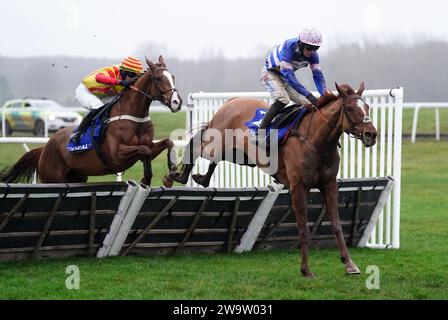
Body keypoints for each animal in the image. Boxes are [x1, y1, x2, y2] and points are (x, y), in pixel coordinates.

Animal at [0, 55, 182, 185]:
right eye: (158, 78)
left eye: (173, 77)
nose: (177, 102)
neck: (133, 116)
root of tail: (45, 148)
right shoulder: (115, 155)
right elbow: (144, 150)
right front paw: (148, 177)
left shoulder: (148, 146)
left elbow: (166, 143)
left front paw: (171, 172)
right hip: (53, 178)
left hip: (77, 176)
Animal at [165, 82, 378, 278]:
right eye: (350, 109)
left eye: (367, 107)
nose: (372, 134)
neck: (317, 141)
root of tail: (231, 101)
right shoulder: (299, 187)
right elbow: (303, 229)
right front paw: (306, 269)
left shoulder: (329, 185)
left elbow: (336, 225)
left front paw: (350, 264)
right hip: (216, 143)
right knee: (196, 145)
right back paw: (175, 175)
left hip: (239, 155)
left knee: (211, 158)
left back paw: (201, 179)